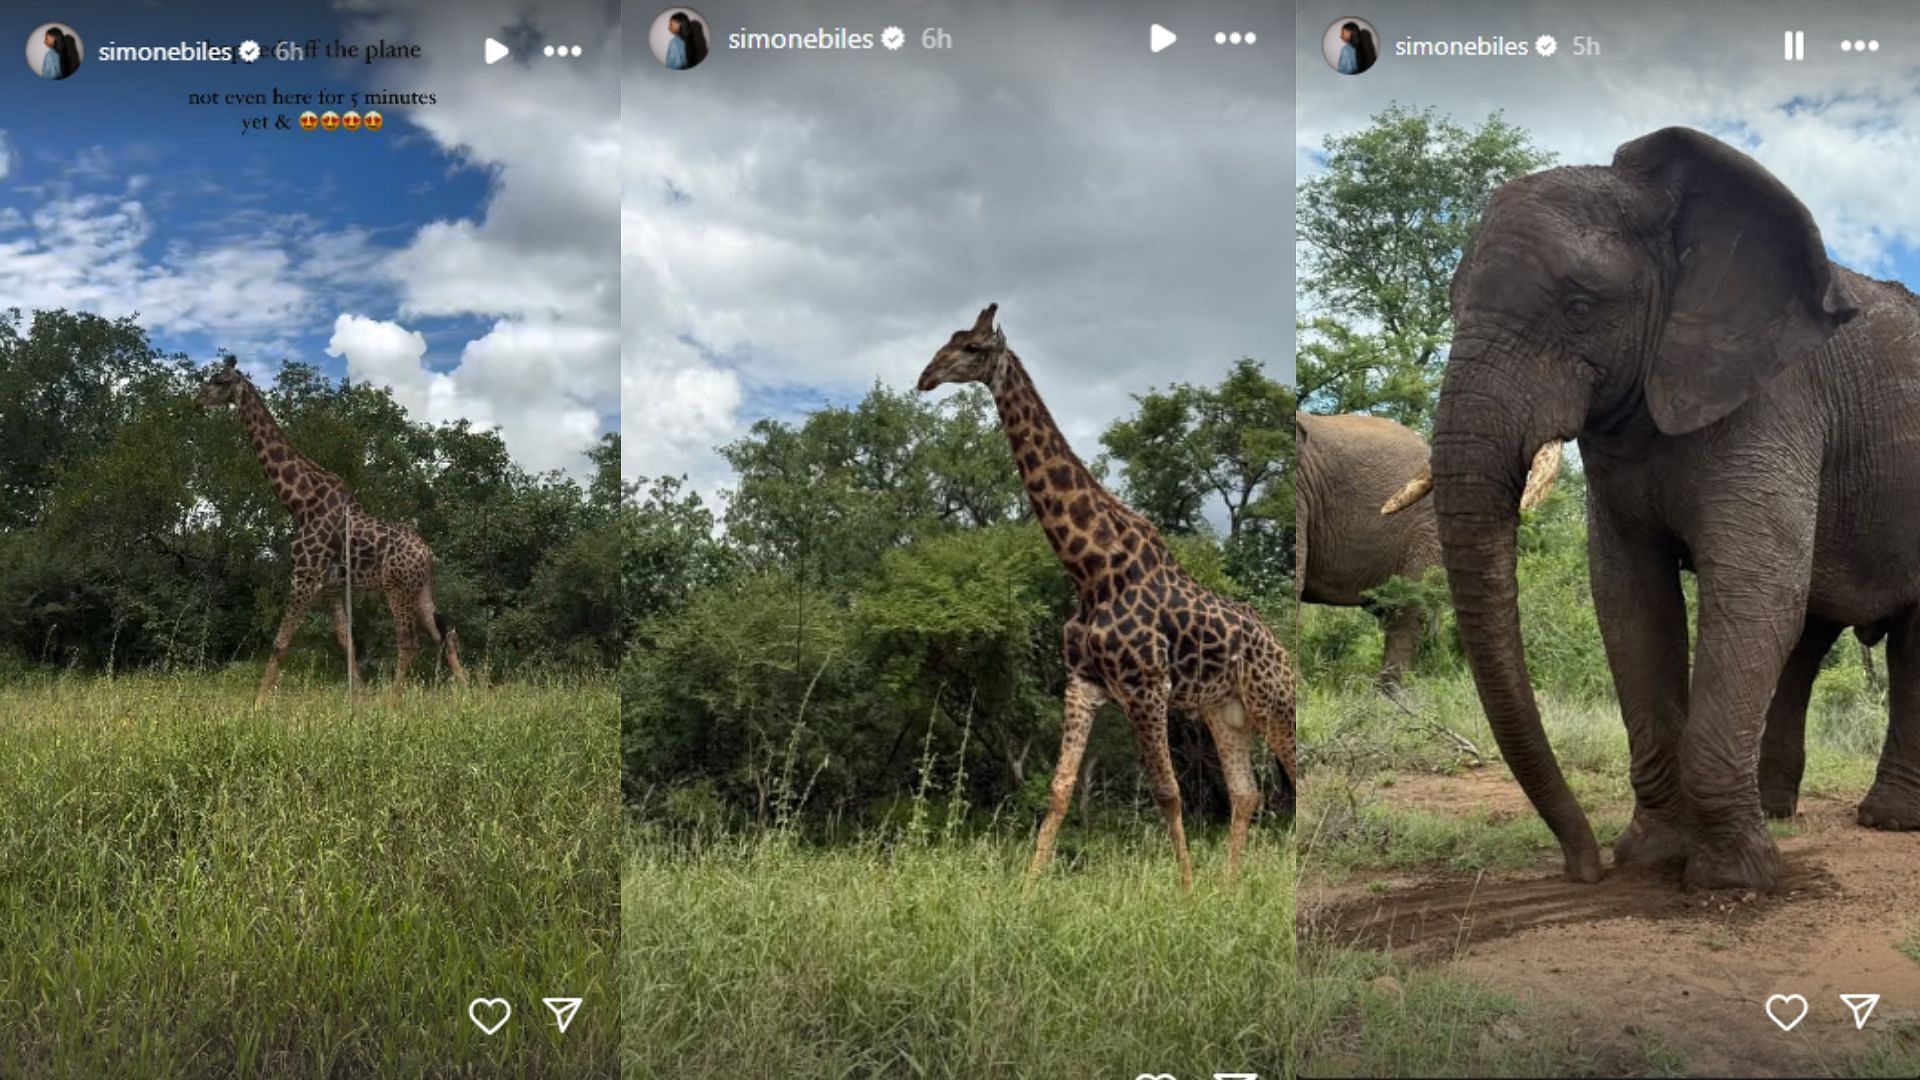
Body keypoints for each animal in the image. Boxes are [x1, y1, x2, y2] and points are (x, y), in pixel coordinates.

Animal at [194, 357, 468, 703]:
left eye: (219, 380)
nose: (196, 401)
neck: (299, 502)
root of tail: (429, 554)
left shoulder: (304, 575)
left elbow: (280, 642)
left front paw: (257, 703)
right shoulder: (331, 588)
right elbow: (344, 639)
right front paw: (360, 699)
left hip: (397, 587)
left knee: (409, 642)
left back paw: (393, 703)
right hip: (420, 588)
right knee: (444, 633)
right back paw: (470, 694)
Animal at [913, 303, 1290, 883]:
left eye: (973, 347)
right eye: (948, 341)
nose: (925, 377)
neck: (1090, 568)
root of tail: (1281, 648)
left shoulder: (1147, 686)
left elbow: (1168, 793)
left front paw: (1187, 890)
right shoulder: (1084, 684)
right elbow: (1060, 789)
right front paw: (1028, 889)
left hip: (1274, 703)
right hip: (1224, 710)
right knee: (1246, 794)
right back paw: (1230, 884)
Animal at [1420, 122, 1920, 887]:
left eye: (1579, 308)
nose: (1585, 868)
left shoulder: (1775, 401)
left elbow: (1752, 590)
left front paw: (1734, 880)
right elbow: (1630, 600)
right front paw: (1653, 856)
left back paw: (1887, 821)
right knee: (1806, 639)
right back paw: (1776, 811)